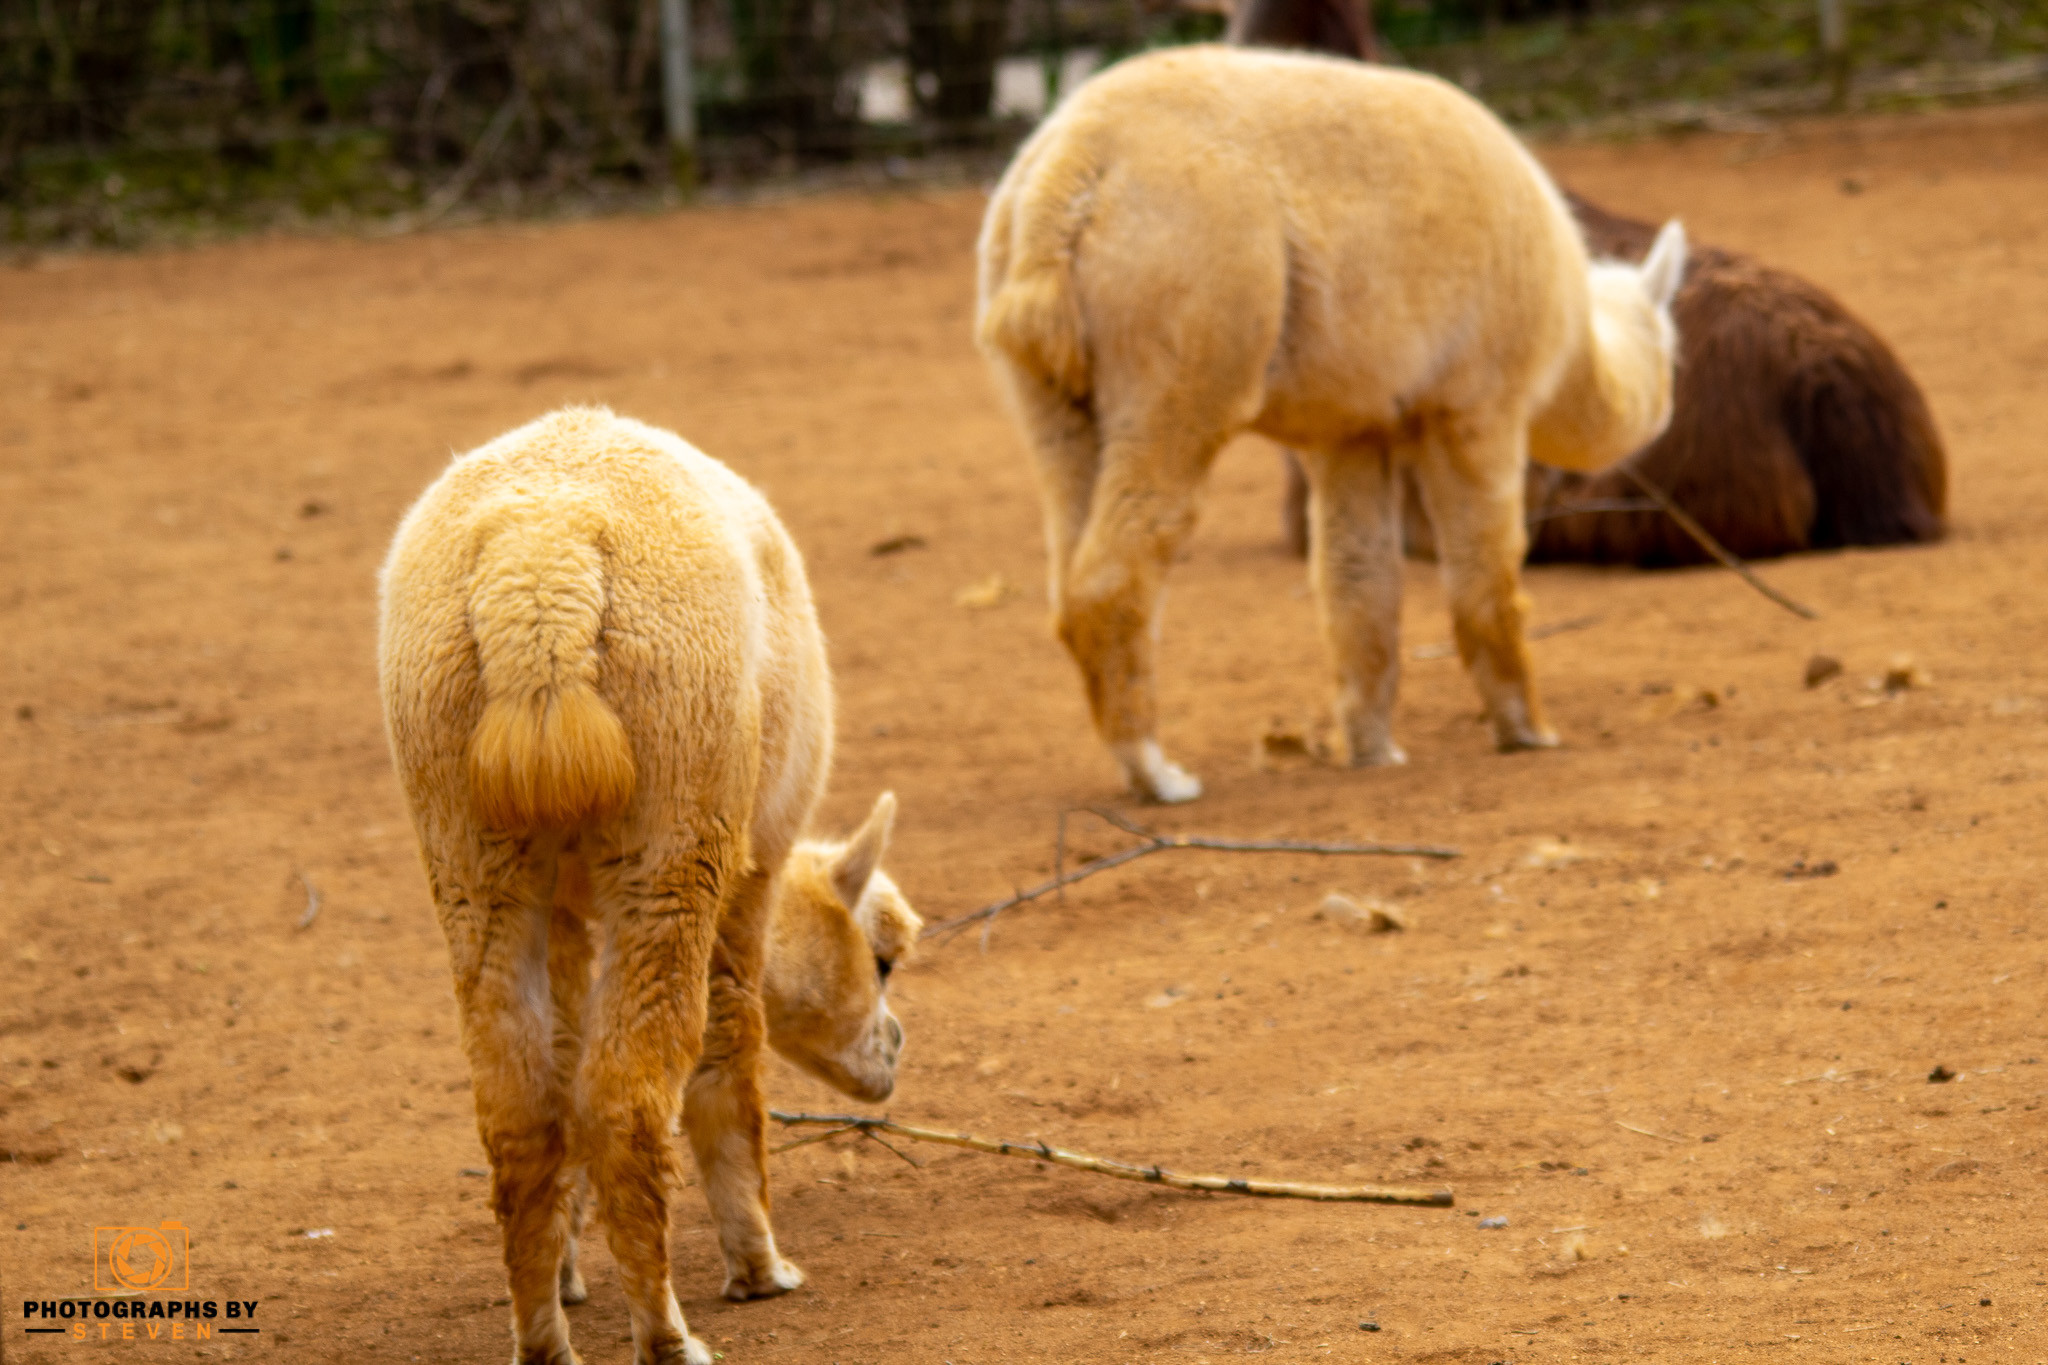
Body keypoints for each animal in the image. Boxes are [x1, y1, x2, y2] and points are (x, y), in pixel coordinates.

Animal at [379, 406, 919, 1365]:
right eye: (883, 960)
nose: (894, 1050)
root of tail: (542, 572)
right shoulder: (753, 869)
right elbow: (733, 1040)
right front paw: (761, 1266)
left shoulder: (561, 903)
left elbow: (563, 1053)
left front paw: (567, 1270)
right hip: (681, 819)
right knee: (629, 1099)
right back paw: (669, 1334)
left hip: (467, 839)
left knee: (523, 1107)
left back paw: (543, 1339)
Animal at [976, 45, 1686, 801]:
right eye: (1677, 350)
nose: (1673, 410)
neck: (1573, 334)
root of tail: (1073, 168)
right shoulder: (1479, 402)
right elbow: (1485, 571)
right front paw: (1528, 733)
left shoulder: (1350, 428)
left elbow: (1358, 584)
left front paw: (1374, 750)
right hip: (1189, 310)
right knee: (1119, 566)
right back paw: (1159, 775)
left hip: (1047, 383)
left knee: (1068, 572)